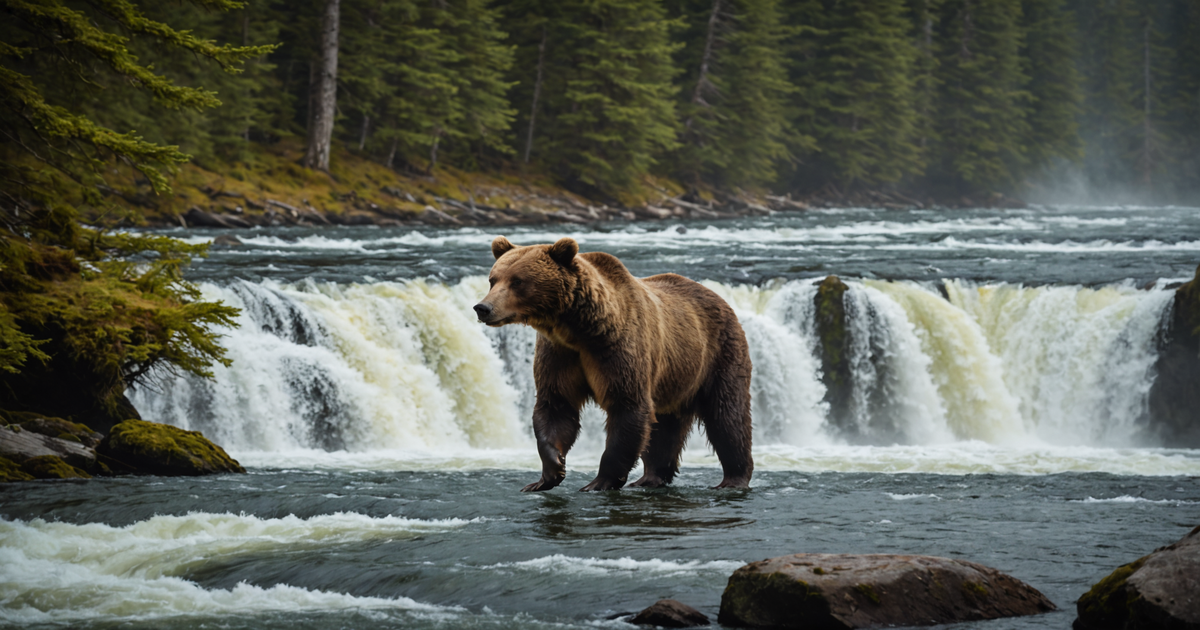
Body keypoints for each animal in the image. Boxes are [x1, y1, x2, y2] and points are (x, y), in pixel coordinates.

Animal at [473, 236, 753, 491]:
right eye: (493, 279)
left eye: (517, 281)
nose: (482, 307)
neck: (578, 329)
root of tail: (718, 297)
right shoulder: (559, 355)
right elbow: (556, 406)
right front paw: (550, 471)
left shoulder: (618, 350)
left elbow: (627, 407)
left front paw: (598, 482)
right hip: (675, 377)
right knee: (665, 426)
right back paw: (650, 477)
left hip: (719, 355)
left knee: (727, 417)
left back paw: (733, 478)